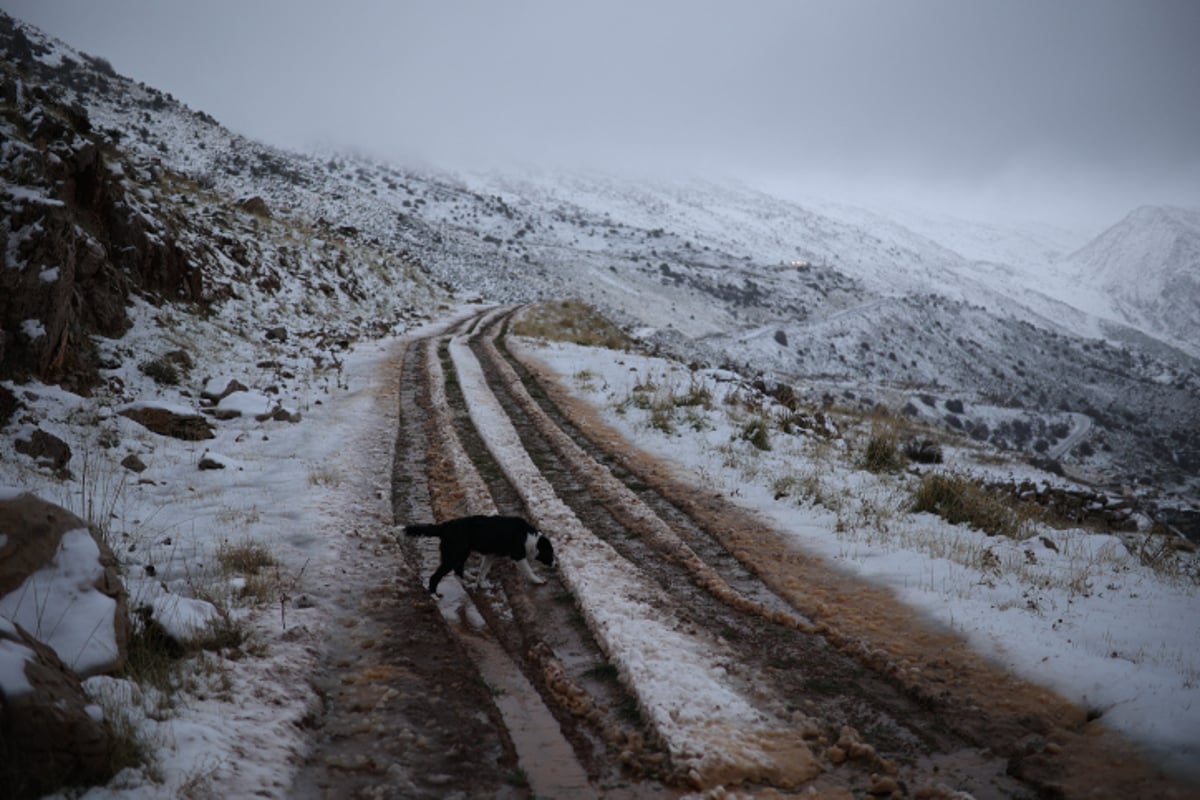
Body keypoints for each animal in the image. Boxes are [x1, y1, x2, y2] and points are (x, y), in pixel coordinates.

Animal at [403, 515, 552, 597]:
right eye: (550, 553)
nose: (554, 565)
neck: (529, 537)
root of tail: (444, 527)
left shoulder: (491, 555)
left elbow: (483, 570)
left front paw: (481, 583)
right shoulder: (518, 555)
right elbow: (529, 571)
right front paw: (538, 580)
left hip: (461, 553)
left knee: (458, 571)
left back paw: (467, 580)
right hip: (453, 556)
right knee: (436, 576)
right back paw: (434, 596)